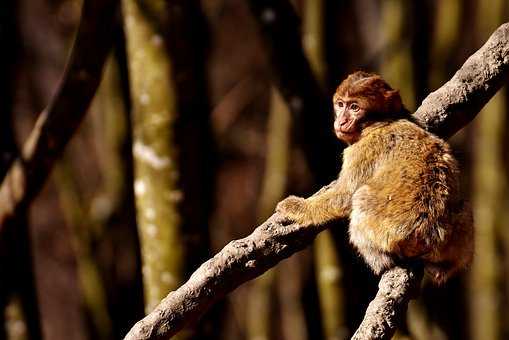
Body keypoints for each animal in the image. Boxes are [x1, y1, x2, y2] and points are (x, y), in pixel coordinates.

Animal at [278, 71, 472, 284]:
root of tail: (432, 235)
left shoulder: (361, 151)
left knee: (360, 197)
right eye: (340, 104)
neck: (380, 123)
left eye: (354, 107)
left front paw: (297, 207)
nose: (341, 121)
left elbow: (345, 196)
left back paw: (381, 261)